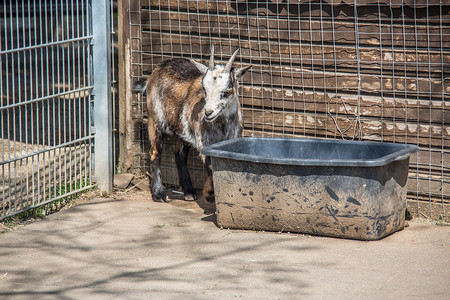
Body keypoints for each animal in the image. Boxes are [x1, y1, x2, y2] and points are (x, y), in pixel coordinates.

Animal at [134, 46, 251, 202]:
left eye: (226, 91)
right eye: (204, 89)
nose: (208, 112)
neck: (222, 124)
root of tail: (157, 70)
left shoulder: (232, 139)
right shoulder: (203, 141)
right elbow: (210, 164)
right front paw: (209, 194)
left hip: (182, 129)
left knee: (179, 154)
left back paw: (189, 191)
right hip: (154, 120)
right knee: (155, 153)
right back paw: (159, 194)